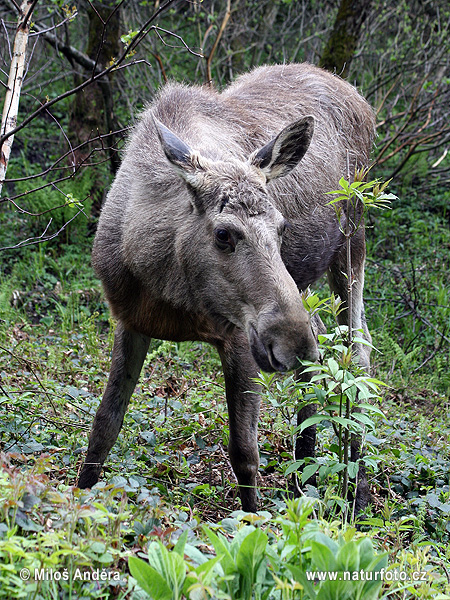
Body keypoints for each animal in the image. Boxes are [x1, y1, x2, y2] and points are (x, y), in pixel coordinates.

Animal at [78, 62, 376, 510]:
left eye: (281, 227)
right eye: (223, 234)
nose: (291, 344)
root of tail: (359, 97)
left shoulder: (239, 337)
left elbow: (244, 453)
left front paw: (257, 521)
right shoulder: (130, 321)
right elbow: (103, 427)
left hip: (352, 237)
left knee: (357, 351)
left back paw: (355, 496)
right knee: (323, 348)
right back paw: (302, 474)